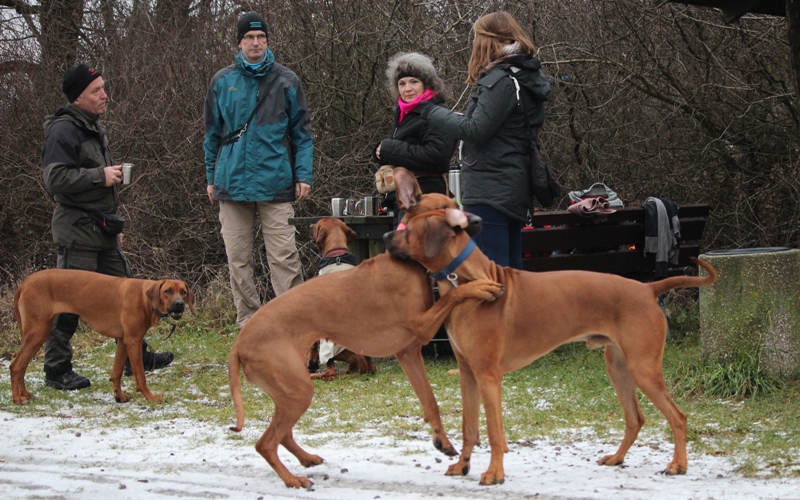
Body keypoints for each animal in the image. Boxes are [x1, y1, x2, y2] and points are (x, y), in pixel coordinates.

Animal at [10, 269, 194, 404]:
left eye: (183, 292)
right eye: (168, 291)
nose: (179, 304)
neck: (145, 299)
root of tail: (25, 283)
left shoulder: (123, 341)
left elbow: (117, 372)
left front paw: (119, 396)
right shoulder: (133, 340)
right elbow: (141, 377)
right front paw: (151, 397)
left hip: (39, 332)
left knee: (22, 365)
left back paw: (25, 393)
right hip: (37, 331)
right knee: (15, 365)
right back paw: (18, 398)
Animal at [383, 207, 718, 485]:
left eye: (407, 228)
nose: (385, 236)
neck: (467, 282)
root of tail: (648, 288)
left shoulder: (489, 375)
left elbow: (493, 431)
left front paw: (494, 474)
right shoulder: (468, 372)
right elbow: (470, 427)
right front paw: (462, 465)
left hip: (643, 367)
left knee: (678, 417)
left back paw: (678, 465)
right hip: (618, 366)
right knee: (636, 418)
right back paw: (617, 457)